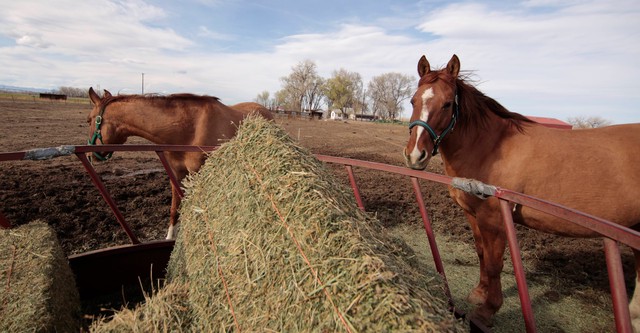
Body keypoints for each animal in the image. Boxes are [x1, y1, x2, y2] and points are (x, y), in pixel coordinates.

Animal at [87, 88, 272, 239]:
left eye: (89, 120)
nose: (90, 155)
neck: (188, 130)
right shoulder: (177, 174)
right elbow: (174, 208)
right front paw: (170, 237)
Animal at [402, 53, 640, 326]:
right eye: (413, 100)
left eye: (448, 104)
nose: (415, 155)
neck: (490, 146)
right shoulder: (473, 214)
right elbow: (481, 252)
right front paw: (479, 292)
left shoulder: (495, 219)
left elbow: (494, 263)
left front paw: (487, 310)